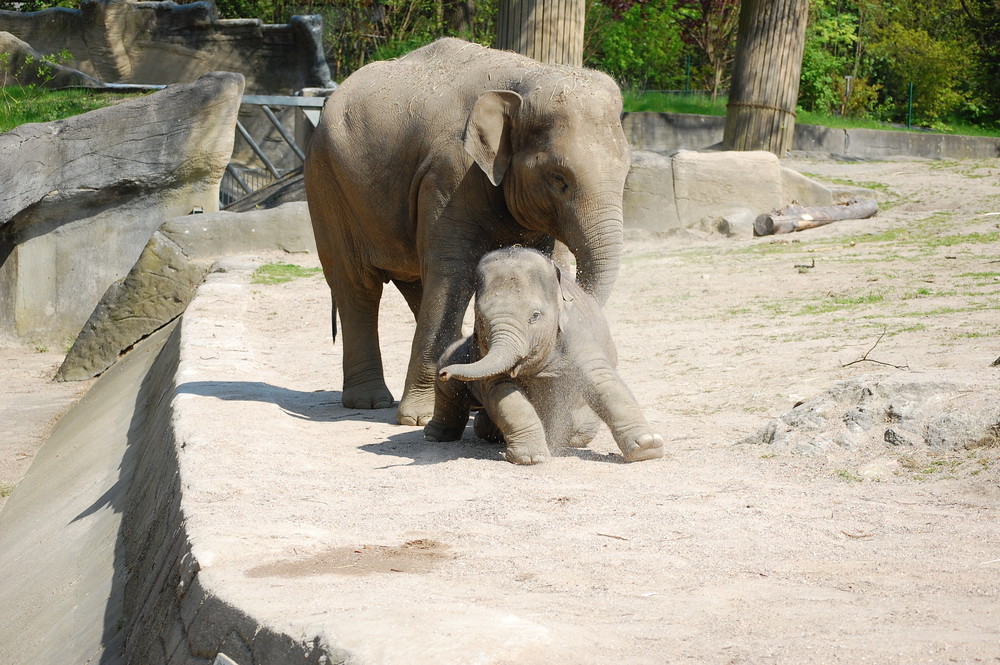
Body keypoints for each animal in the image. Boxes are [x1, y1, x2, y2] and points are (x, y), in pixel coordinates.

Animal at [306, 36, 632, 422]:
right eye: (558, 178)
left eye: (627, 173)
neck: (525, 79)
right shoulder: (449, 174)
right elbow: (454, 276)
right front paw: (420, 418)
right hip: (327, 185)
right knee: (358, 286)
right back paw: (370, 402)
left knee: (417, 284)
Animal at [422, 246, 664, 464]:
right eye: (480, 318)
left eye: (535, 315)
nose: (445, 373)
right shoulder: (481, 351)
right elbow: (502, 392)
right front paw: (531, 458)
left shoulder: (577, 333)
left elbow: (603, 381)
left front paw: (648, 447)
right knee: (449, 393)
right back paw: (436, 435)